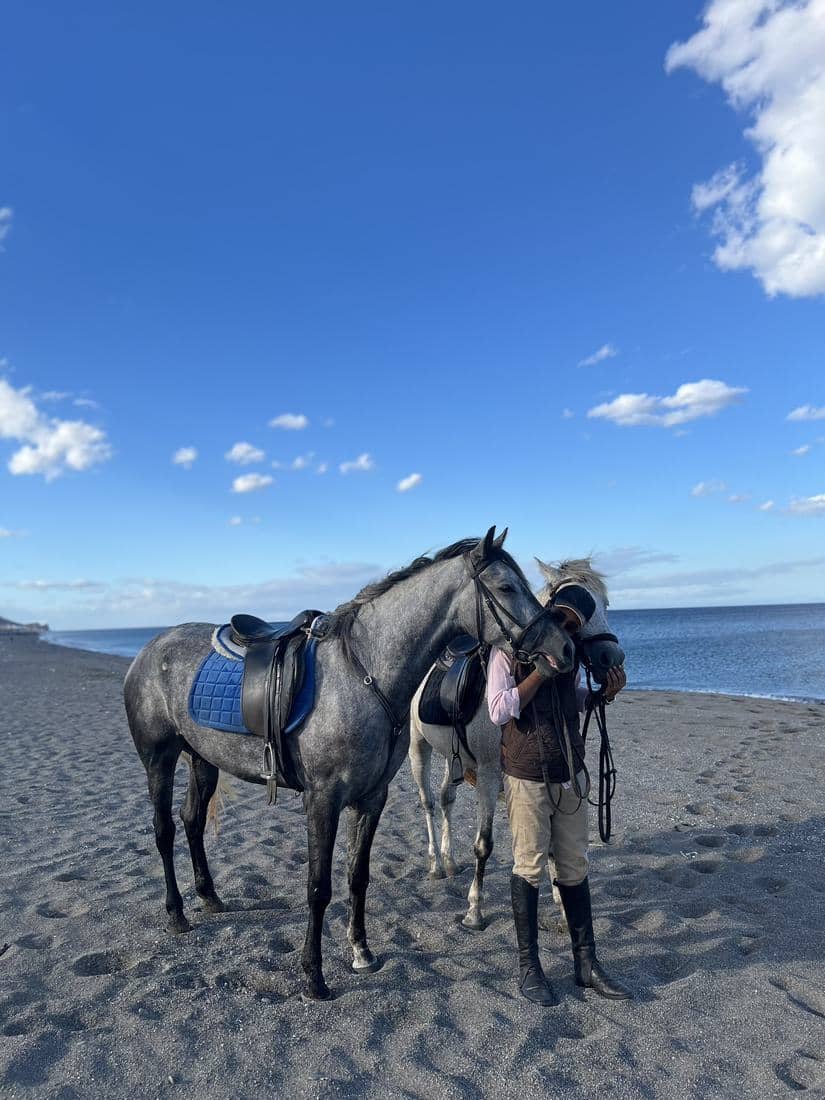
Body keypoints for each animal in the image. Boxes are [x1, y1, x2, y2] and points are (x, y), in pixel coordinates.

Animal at [123, 528, 578, 1000]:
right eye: (506, 587)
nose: (564, 647)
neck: (364, 675)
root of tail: (149, 648)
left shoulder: (371, 798)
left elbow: (357, 876)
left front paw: (361, 951)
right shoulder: (322, 801)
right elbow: (318, 886)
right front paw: (313, 975)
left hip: (202, 761)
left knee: (192, 821)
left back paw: (209, 897)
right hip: (159, 759)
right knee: (164, 830)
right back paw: (176, 913)